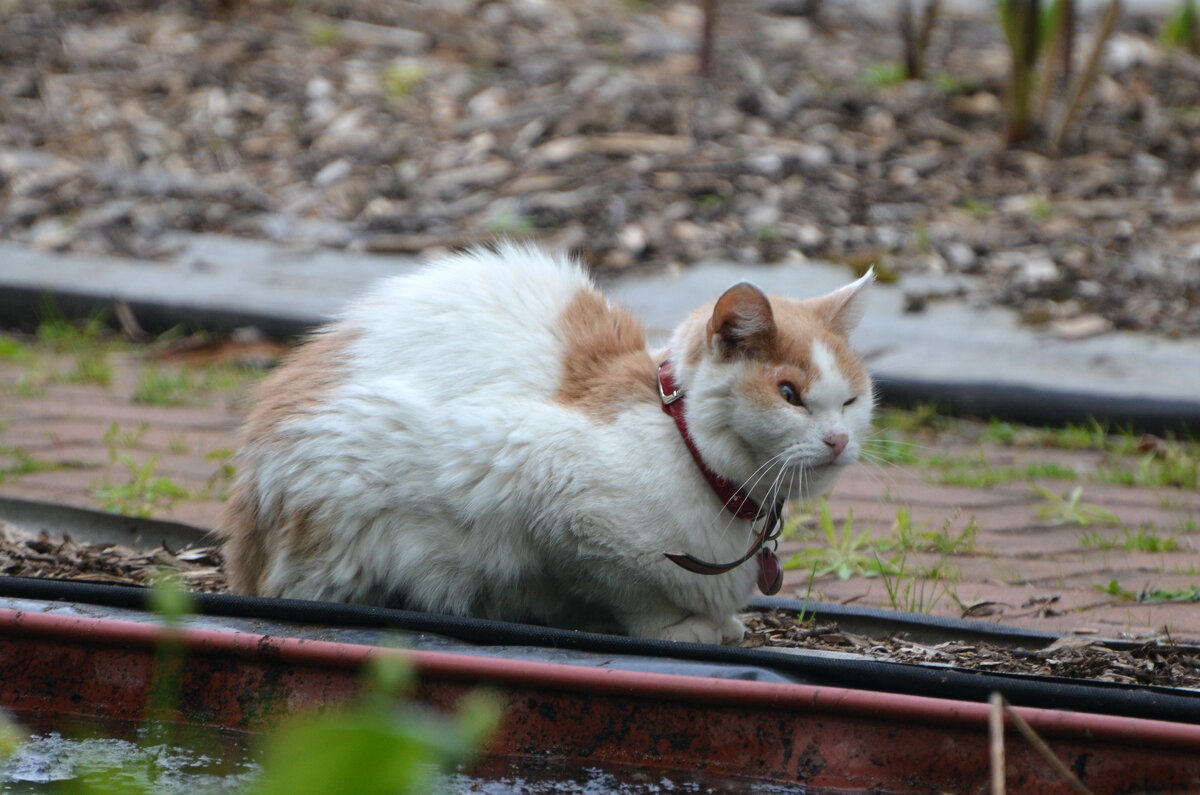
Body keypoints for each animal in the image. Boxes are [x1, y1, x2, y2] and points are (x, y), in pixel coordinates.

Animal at [218, 246, 873, 643]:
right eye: (790, 395)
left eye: (850, 400)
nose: (839, 439)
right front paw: (682, 628)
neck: (686, 448)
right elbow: (632, 592)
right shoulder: (547, 492)